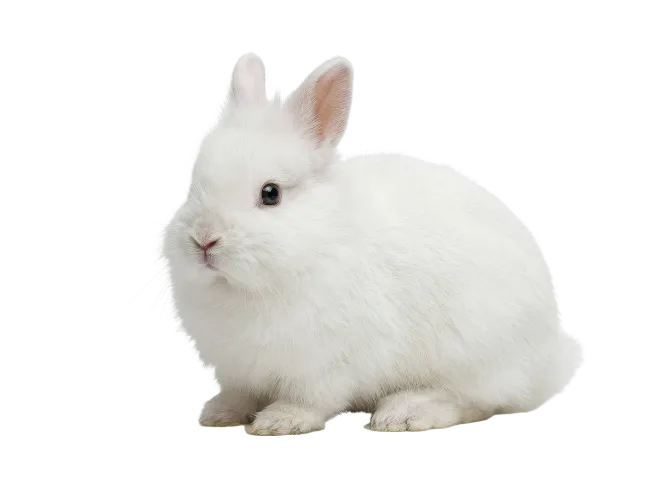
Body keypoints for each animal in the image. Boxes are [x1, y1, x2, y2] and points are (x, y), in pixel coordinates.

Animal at [162, 52, 585, 435]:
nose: (203, 239)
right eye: (195, 184)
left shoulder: (325, 364)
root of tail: (548, 359)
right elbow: (241, 393)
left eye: (271, 194)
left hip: (474, 351)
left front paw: (280, 421)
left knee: (476, 399)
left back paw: (404, 412)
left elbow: (312, 400)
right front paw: (219, 414)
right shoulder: (238, 368)